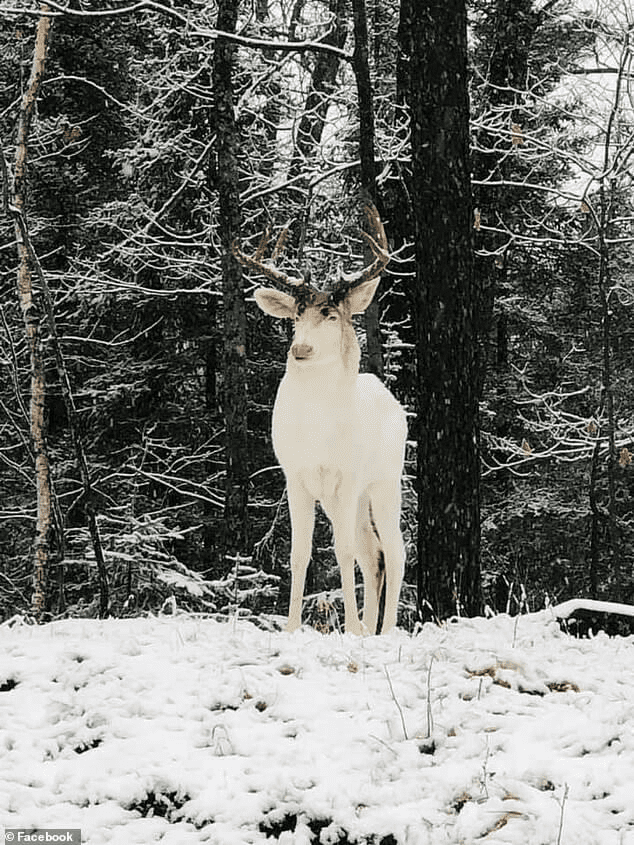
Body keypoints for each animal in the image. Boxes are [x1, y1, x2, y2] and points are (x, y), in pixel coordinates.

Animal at [232, 206, 404, 632]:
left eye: (330, 315)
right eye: (296, 315)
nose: (301, 349)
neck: (317, 432)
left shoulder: (349, 475)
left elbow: (341, 551)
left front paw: (352, 628)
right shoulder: (296, 476)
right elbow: (300, 554)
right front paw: (292, 627)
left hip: (384, 480)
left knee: (394, 550)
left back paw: (384, 629)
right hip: (349, 497)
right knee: (373, 554)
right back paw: (370, 630)